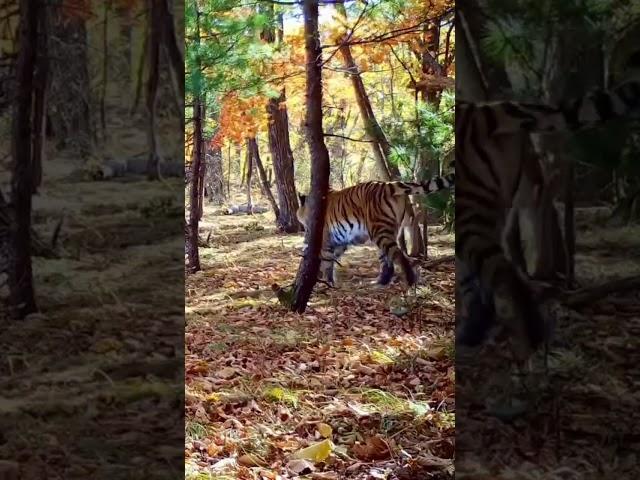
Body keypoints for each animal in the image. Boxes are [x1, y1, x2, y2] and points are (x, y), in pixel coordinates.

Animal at [296, 172, 456, 286]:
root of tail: (389, 184)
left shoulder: (325, 239)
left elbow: (326, 261)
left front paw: (325, 282)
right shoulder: (339, 241)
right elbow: (331, 259)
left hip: (379, 232)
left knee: (398, 255)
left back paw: (410, 281)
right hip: (385, 232)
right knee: (387, 262)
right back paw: (379, 282)